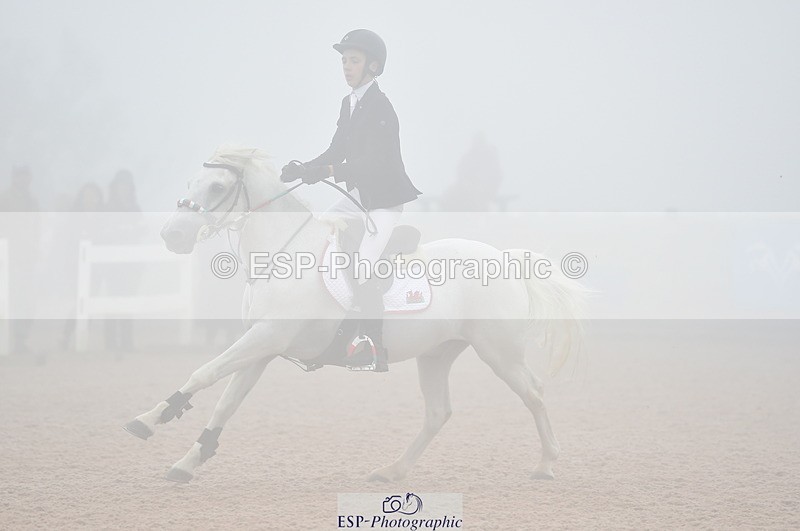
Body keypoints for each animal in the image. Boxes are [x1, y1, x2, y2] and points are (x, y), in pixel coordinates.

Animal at [123, 145, 588, 483]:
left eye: (218, 187)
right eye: (192, 182)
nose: (172, 235)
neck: (283, 253)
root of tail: (504, 257)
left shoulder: (266, 336)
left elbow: (204, 373)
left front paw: (147, 420)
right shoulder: (262, 346)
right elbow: (225, 402)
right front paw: (188, 459)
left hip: (498, 351)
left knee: (534, 393)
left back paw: (546, 464)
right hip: (436, 354)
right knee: (438, 412)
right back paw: (392, 471)